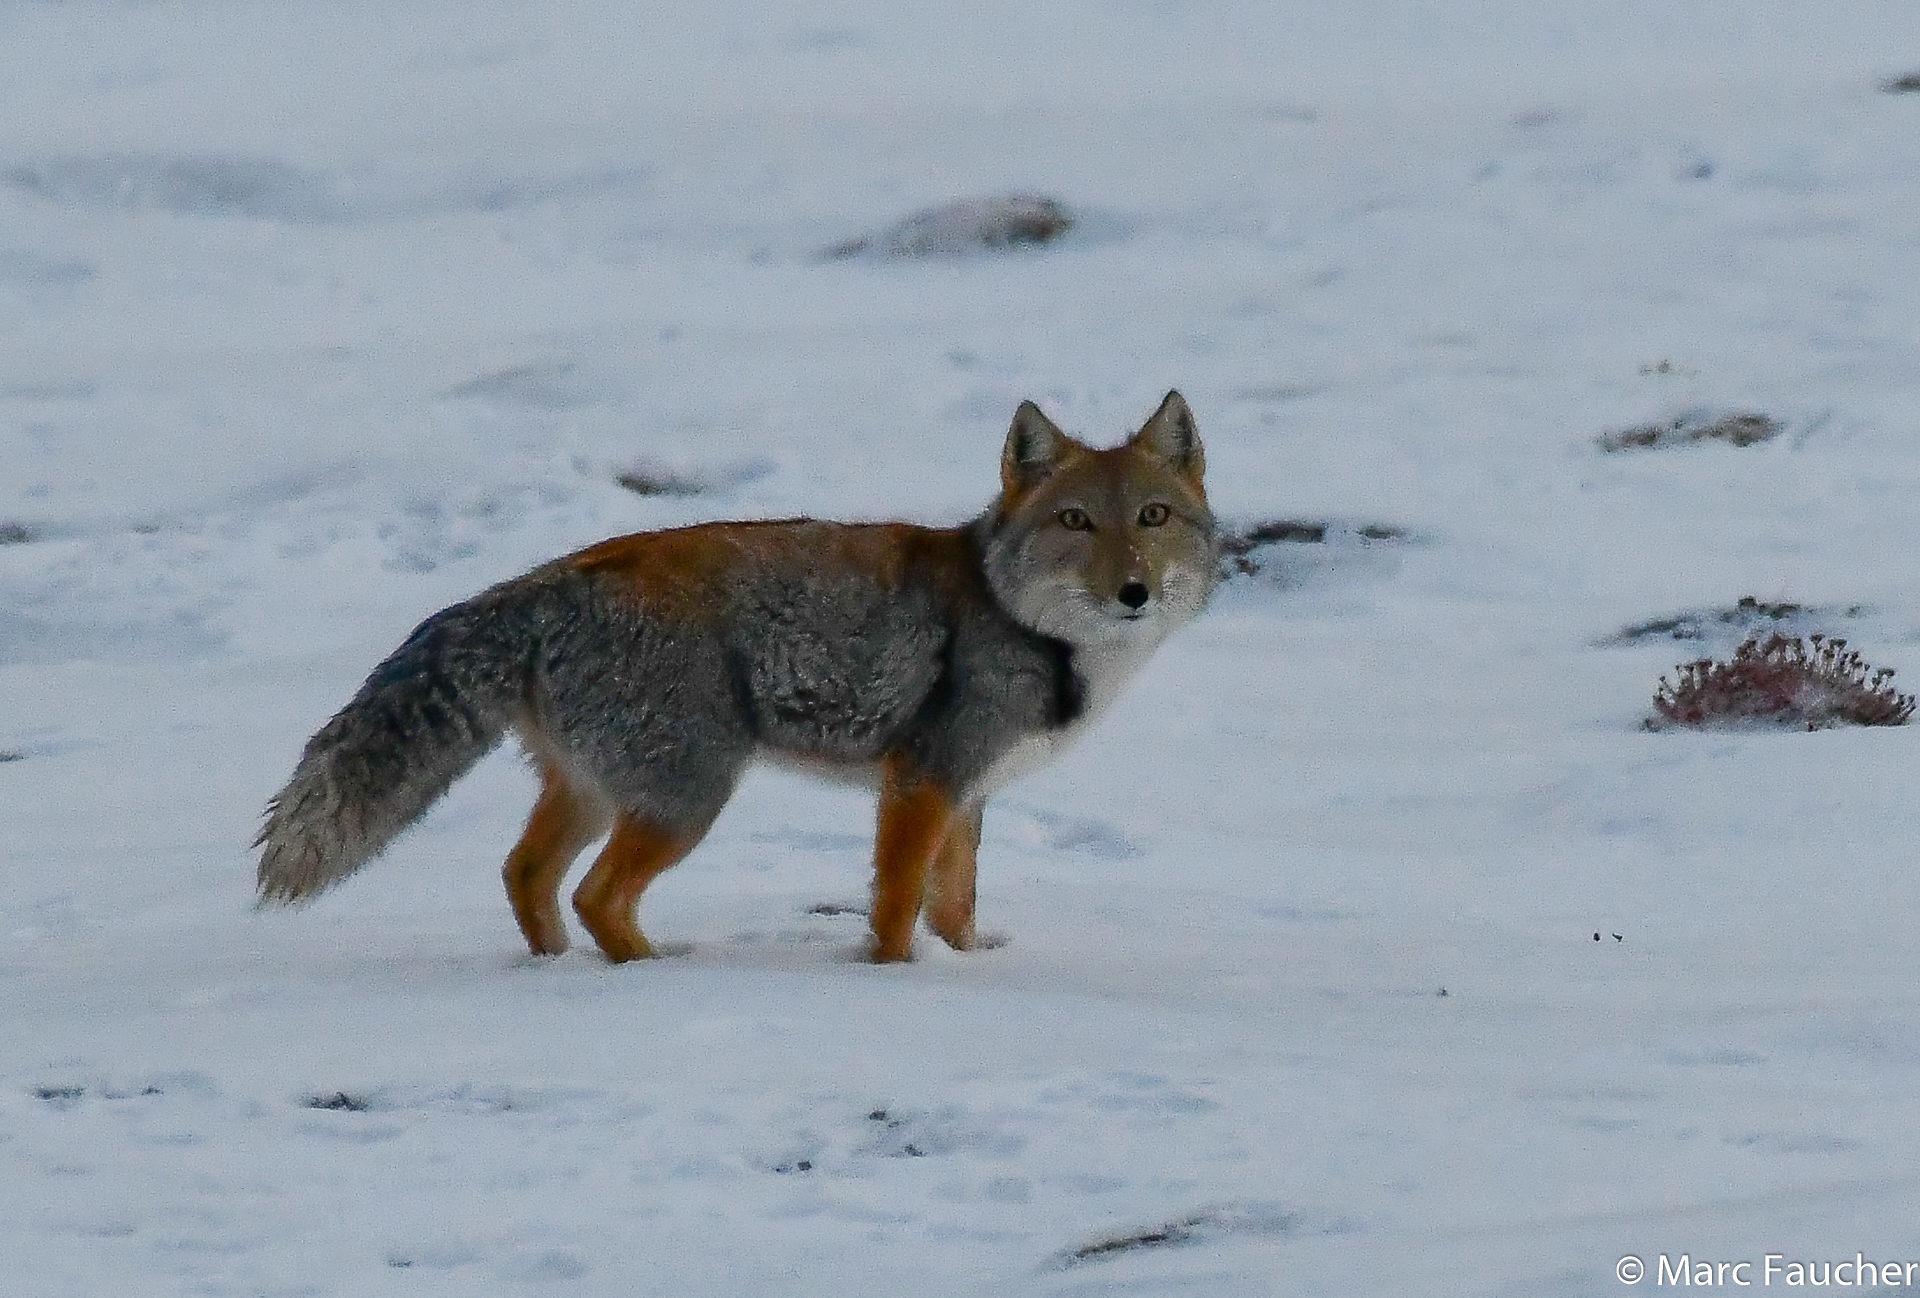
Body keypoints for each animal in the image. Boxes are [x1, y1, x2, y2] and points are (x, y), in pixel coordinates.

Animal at [256, 391, 1217, 963]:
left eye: (1153, 517)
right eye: (1076, 521)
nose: (1133, 592)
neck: (1034, 630)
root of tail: (544, 580)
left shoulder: (970, 794)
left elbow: (954, 907)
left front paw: (962, 966)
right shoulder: (922, 782)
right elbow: (896, 905)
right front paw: (899, 980)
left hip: (596, 792)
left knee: (526, 876)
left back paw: (561, 969)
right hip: (687, 799)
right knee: (595, 894)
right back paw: (652, 972)